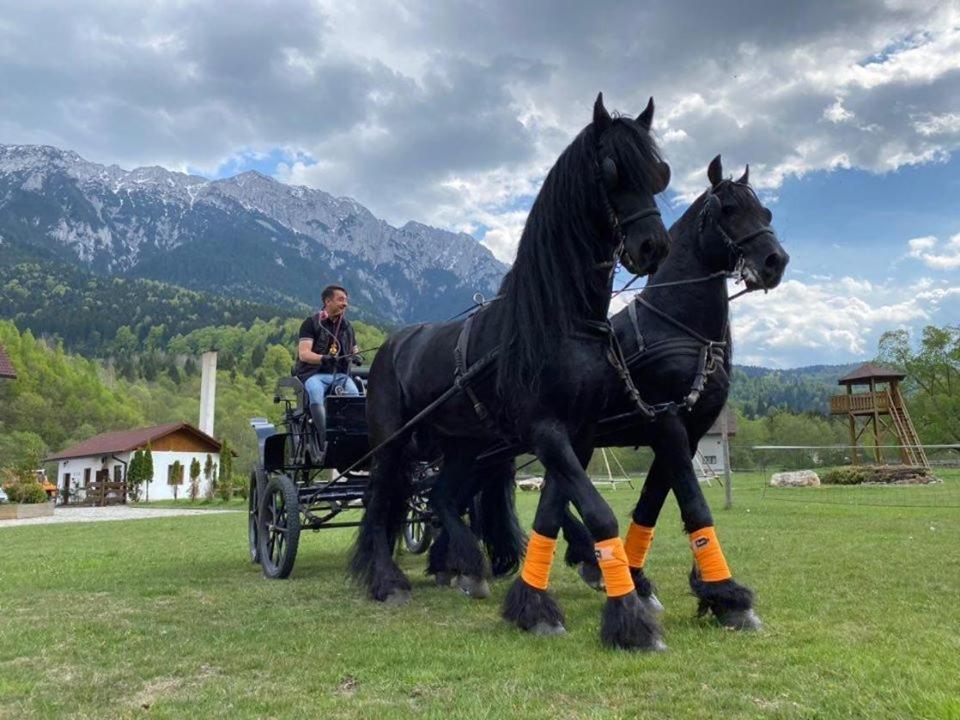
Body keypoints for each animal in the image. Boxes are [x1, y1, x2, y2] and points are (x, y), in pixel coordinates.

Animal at [348, 93, 672, 648]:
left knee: (440, 496)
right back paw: (385, 580)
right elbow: (598, 512)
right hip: (391, 441)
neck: (557, 318)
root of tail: (389, 346)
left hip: (463, 444)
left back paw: (466, 566)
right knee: (380, 500)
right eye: (610, 169)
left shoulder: (578, 435)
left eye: (658, 173)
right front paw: (628, 617)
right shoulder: (545, 430)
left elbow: (555, 511)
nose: (653, 247)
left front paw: (535, 601)